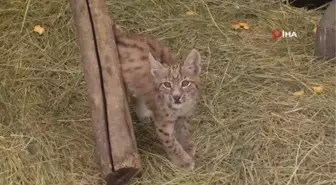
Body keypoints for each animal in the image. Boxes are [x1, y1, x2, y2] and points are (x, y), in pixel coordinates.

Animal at [114, 24, 201, 169]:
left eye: (185, 83)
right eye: (167, 84)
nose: (176, 97)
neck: (179, 107)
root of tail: (124, 36)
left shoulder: (185, 114)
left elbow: (184, 130)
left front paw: (187, 146)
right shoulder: (163, 123)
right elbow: (171, 143)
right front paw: (183, 161)